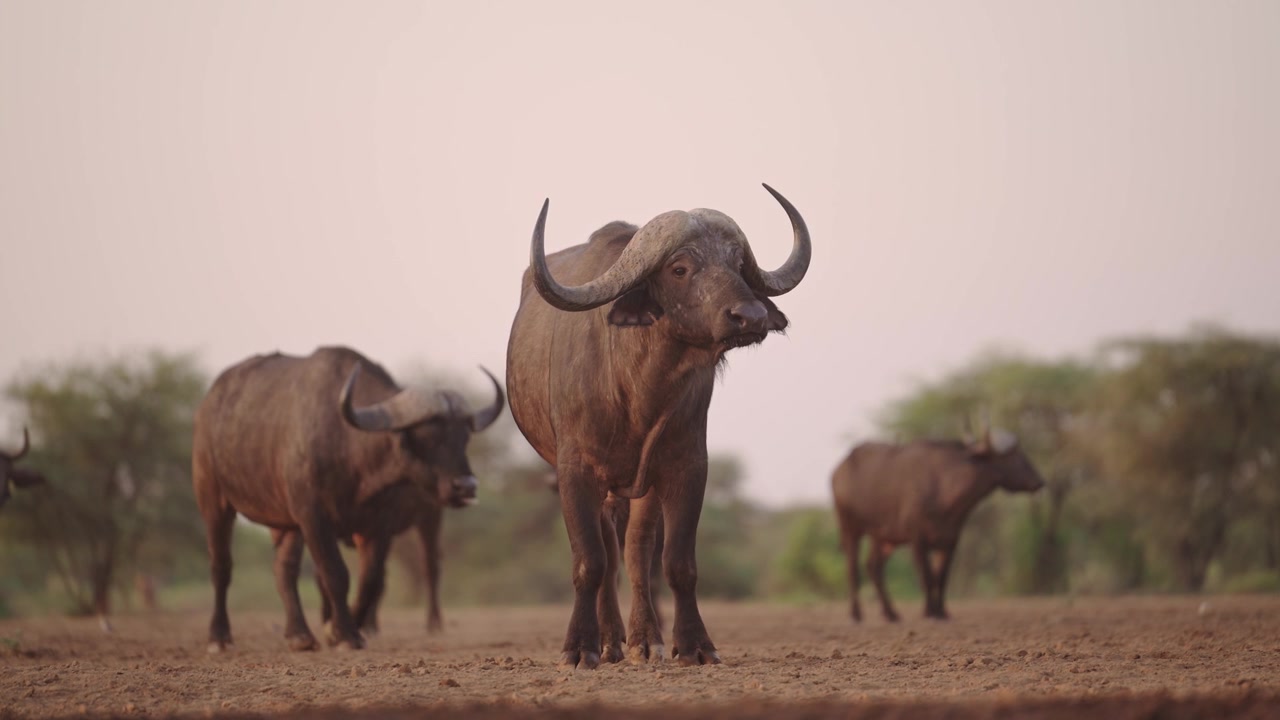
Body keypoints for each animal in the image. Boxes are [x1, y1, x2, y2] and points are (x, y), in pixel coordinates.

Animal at [193, 346, 502, 651]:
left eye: (464, 437)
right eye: (427, 435)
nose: (466, 486)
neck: (350, 449)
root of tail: (209, 403)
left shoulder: (377, 526)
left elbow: (371, 579)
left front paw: (342, 628)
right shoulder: (313, 518)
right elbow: (335, 574)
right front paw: (344, 633)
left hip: (292, 523)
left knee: (285, 569)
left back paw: (299, 635)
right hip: (213, 499)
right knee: (221, 566)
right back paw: (219, 636)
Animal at [506, 185, 810, 668]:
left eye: (736, 262)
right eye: (680, 268)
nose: (751, 316)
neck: (638, 390)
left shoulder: (687, 467)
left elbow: (678, 563)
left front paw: (695, 645)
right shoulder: (573, 472)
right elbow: (589, 562)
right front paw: (579, 647)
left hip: (640, 488)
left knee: (634, 551)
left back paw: (642, 639)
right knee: (610, 556)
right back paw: (610, 641)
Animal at [831, 432, 1045, 623]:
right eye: (1015, 456)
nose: (1039, 481)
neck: (943, 485)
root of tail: (838, 471)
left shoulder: (949, 540)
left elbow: (940, 578)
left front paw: (941, 611)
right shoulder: (917, 540)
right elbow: (926, 577)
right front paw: (928, 612)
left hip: (883, 538)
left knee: (874, 567)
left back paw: (891, 613)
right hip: (850, 527)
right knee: (852, 569)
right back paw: (856, 614)